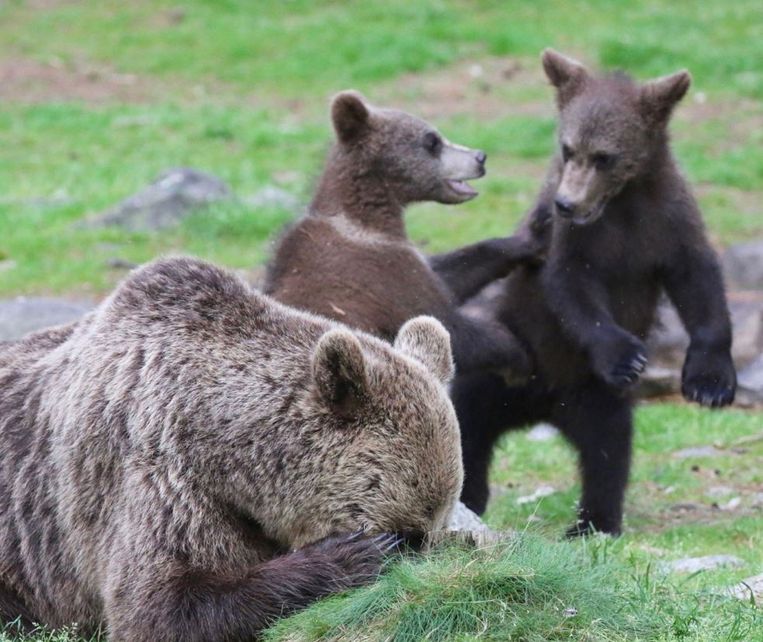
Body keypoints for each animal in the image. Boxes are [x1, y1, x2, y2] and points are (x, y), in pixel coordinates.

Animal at [0, 258, 460, 636]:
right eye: (408, 534)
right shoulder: (156, 474)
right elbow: (157, 606)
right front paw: (352, 555)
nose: (425, 574)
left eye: (435, 525)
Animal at [456, 50, 736, 532]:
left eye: (605, 156)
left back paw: (593, 521)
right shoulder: (572, 242)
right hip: (505, 359)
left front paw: (710, 382)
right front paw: (625, 355)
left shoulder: (668, 224)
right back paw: (468, 496)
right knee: (467, 421)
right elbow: (570, 287)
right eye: (568, 149)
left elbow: (699, 283)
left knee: (608, 450)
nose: (567, 203)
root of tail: (541, 406)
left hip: (592, 396)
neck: (621, 204)